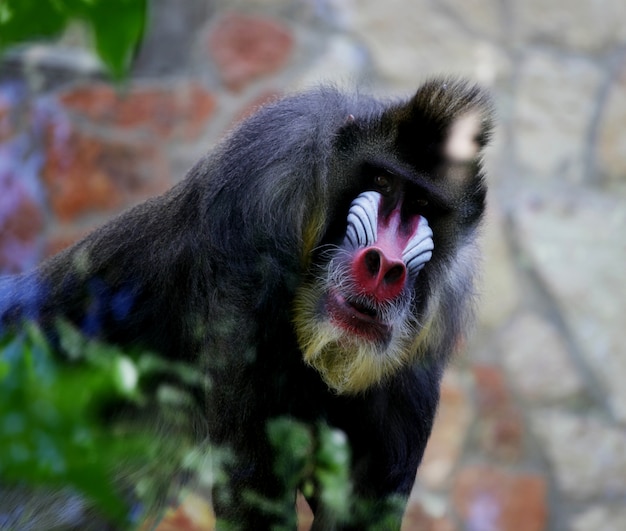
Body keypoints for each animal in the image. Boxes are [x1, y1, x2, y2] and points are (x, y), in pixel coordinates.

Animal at [0, 77, 492, 528]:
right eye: (382, 181)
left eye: (423, 202)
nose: (384, 266)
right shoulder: (261, 206)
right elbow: (252, 486)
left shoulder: (427, 337)